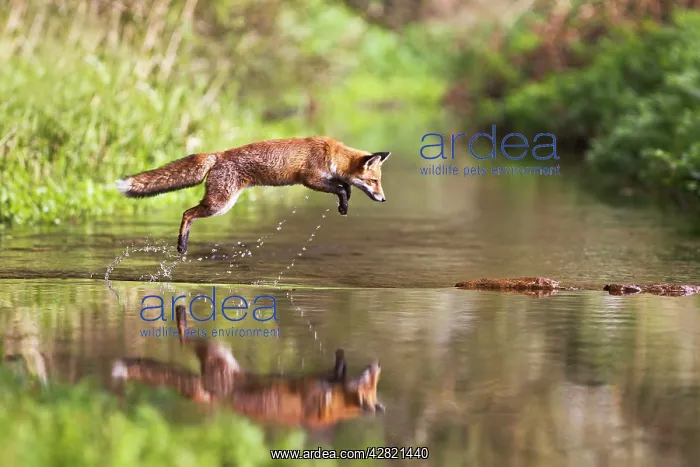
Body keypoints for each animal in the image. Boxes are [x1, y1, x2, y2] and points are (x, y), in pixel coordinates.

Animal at [115, 137, 392, 254]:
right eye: (374, 182)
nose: (384, 199)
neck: (332, 154)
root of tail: (218, 154)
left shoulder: (322, 179)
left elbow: (344, 187)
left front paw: (344, 205)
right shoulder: (310, 179)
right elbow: (342, 187)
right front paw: (343, 204)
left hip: (221, 203)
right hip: (220, 204)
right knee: (187, 213)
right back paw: (181, 245)